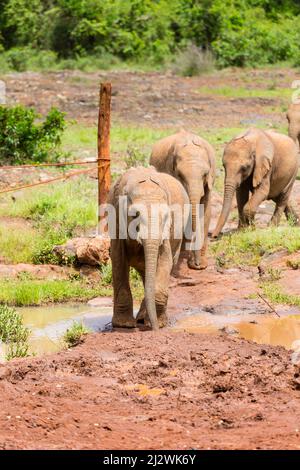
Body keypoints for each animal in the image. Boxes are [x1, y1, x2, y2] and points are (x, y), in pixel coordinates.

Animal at [108, 165, 189, 330]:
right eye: (135, 215)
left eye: (166, 216)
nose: (156, 330)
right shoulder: (117, 219)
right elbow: (118, 260)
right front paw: (124, 325)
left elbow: (165, 259)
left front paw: (160, 324)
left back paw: (144, 319)